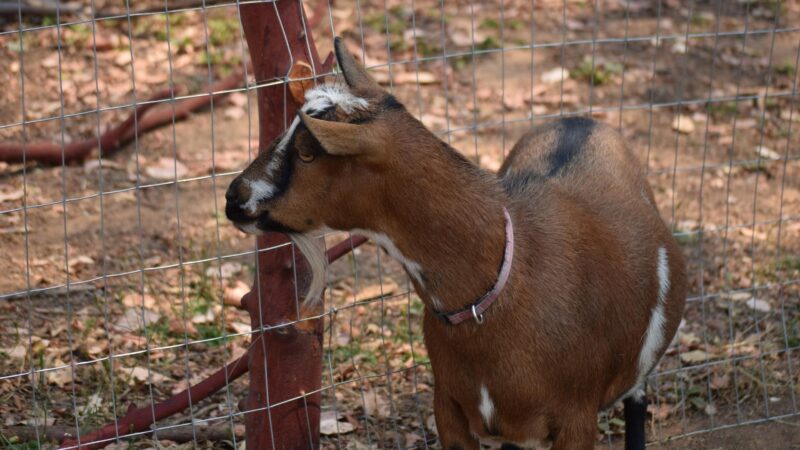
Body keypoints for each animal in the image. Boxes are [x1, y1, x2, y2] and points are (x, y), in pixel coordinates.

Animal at [227, 37, 688, 448]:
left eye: (308, 152)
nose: (234, 197)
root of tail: (582, 120)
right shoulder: (448, 408)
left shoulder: (577, 418)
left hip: (633, 381)